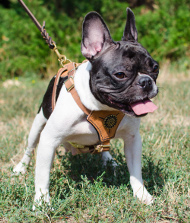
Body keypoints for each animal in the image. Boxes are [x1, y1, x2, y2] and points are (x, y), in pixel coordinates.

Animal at [13, 8, 159, 206]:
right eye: (120, 74)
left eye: (155, 68)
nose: (146, 81)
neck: (102, 108)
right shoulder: (49, 140)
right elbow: (42, 176)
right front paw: (42, 202)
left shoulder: (132, 139)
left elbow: (136, 171)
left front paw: (142, 194)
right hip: (38, 124)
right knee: (29, 148)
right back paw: (21, 167)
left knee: (104, 148)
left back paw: (110, 162)